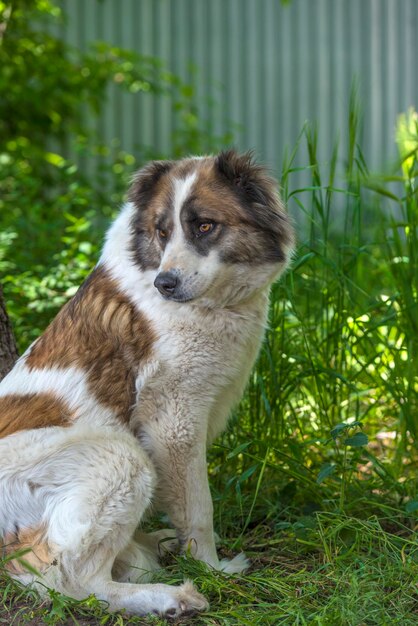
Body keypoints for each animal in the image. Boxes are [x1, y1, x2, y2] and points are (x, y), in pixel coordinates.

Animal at [0, 150, 294, 616]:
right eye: (163, 231)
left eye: (204, 226)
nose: (164, 283)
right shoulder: (173, 422)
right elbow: (198, 508)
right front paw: (211, 568)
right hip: (120, 458)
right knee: (72, 579)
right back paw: (172, 596)